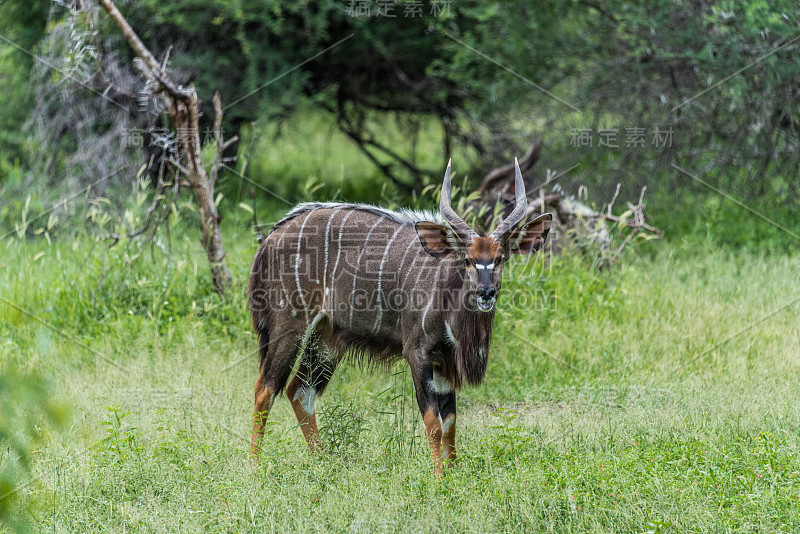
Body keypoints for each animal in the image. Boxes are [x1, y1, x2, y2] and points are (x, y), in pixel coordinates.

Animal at [250, 159, 552, 478]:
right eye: (468, 260)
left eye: (501, 258)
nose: (486, 292)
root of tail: (269, 240)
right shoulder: (418, 352)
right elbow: (433, 421)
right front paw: (439, 478)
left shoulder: (443, 360)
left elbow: (450, 422)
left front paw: (454, 473)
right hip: (290, 325)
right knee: (265, 388)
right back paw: (255, 466)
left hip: (327, 337)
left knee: (299, 391)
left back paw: (323, 461)